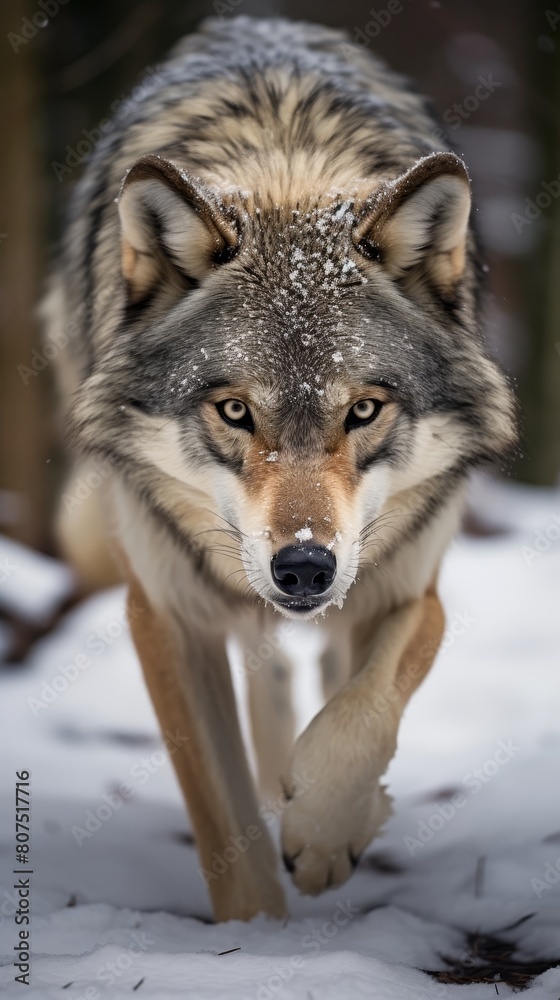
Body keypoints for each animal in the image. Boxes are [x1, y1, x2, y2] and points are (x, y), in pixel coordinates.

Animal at [46, 16, 517, 921]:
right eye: (235, 412)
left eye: (363, 411)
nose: (304, 567)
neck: (285, 166)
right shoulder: (167, 614)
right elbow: (222, 824)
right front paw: (260, 929)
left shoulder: (408, 582)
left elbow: (365, 707)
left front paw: (328, 830)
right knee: (269, 664)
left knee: (327, 669)